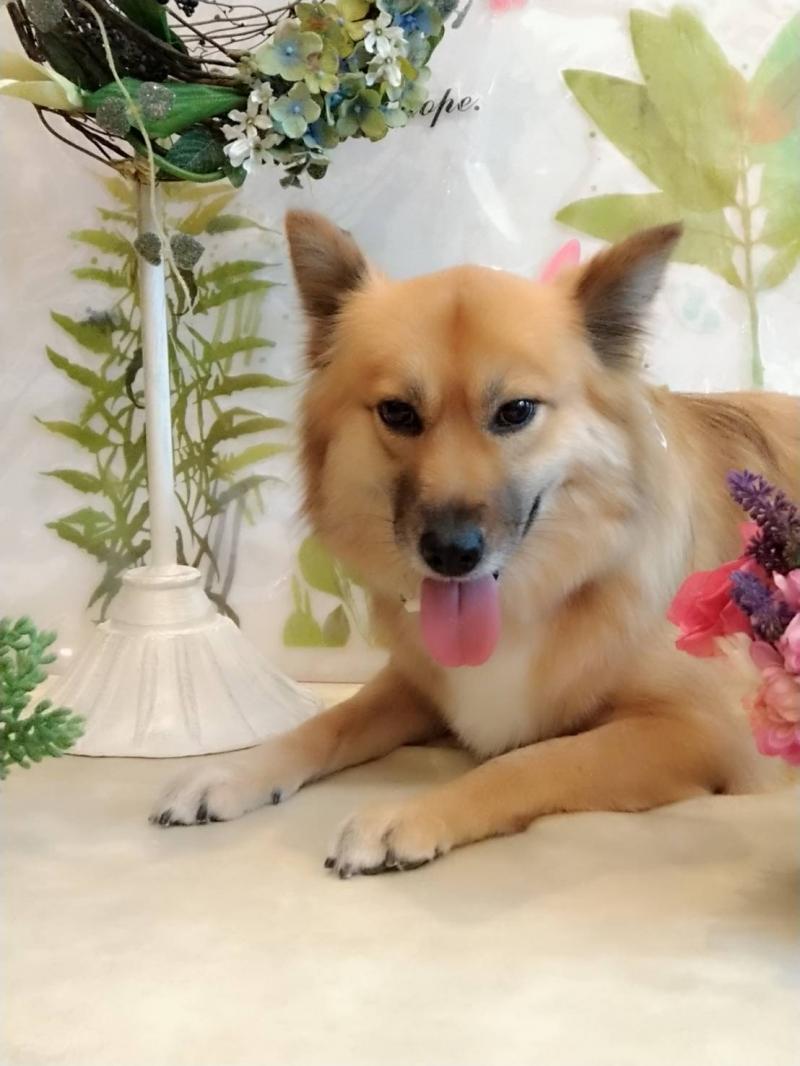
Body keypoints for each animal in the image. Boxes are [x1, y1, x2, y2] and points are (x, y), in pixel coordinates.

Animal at [152, 212, 799, 878]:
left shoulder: (705, 731)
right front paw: (237, 770)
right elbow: (329, 721)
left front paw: (409, 814)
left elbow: (531, 760)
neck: (528, 601)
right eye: (397, 413)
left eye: (516, 411)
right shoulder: (415, 683)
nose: (451, 553)